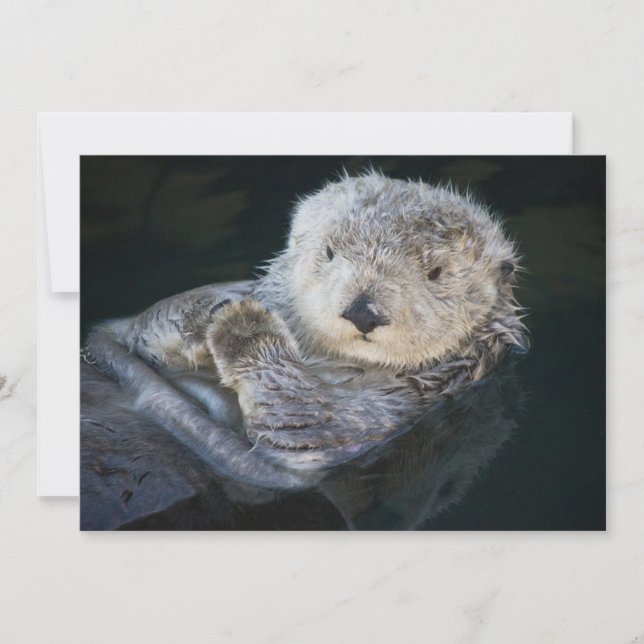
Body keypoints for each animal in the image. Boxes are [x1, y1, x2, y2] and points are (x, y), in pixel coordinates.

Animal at [85, 171, 527, 489]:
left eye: (436, 273)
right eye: (329, 252)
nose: (363, 311)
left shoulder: (390, 410)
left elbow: (304, 420)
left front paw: (242, 326)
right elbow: (140, 329)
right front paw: (206, 312)